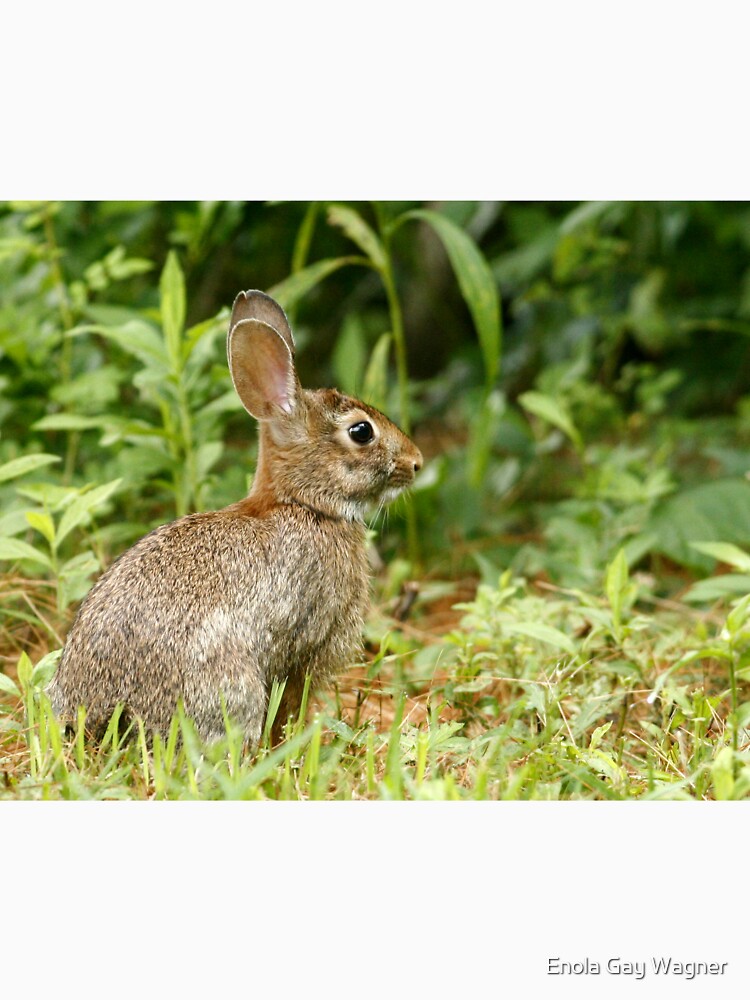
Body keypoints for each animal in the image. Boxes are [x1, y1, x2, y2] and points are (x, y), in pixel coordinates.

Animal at [47, 289, 423, 745]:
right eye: (361, 432)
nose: (417, 462)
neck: (303, 504)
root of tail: (99, 717)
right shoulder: (306, 644)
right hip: (230, 685)